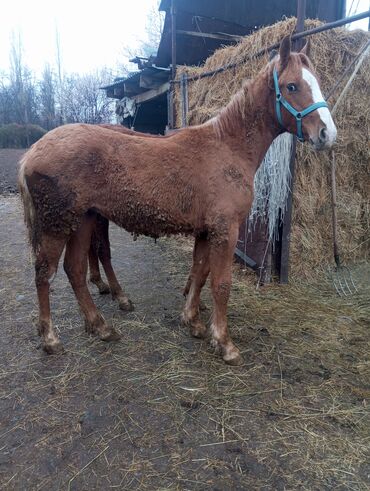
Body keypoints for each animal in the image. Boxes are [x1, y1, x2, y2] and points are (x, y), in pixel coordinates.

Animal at [18, 38, 336, 366]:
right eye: (291, 86)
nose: (327, 134)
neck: (227, 147)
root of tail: (32, 152)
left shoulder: (207, 231)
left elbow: (199, 272)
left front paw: (193, 321)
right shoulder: (225, 230)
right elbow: (221, 283)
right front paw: (224, 343)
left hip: (83, 220)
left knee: (75, 270)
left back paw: (101, 326)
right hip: (59, 225)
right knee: (45, 272)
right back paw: (51, 339)